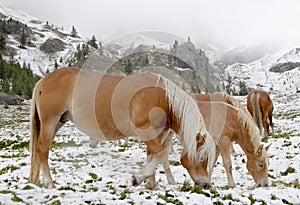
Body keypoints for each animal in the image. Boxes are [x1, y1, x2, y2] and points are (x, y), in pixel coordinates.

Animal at [28, 67, 216, 189]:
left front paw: (151, 184)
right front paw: (137, 179)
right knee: (42, 149)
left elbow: (154, 157)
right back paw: (49, 183)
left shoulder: (156, 134)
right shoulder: (145, 130)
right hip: (50, 122)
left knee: (39, 150)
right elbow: (160, 154)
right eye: (201, 157)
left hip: (57, 123)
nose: (206, 184)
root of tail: (42, 81)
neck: (162, 97)